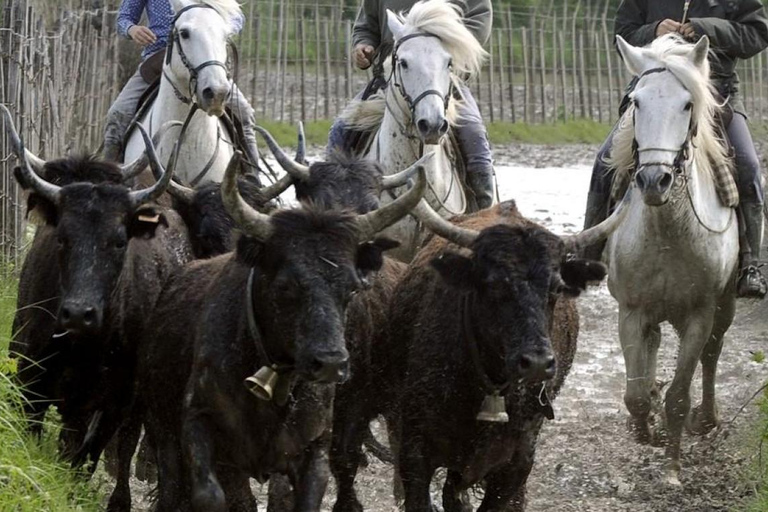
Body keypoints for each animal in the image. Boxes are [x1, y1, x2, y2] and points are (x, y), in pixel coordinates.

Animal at [608, 35, 736, 484]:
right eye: (636, 102)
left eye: (687, 104)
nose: (653, 180)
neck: (668, 233)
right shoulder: (631, 310)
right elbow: (634, 396)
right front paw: (646, 429)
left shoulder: (700, 313)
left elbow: (679, 395)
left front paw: (673, 465)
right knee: (654, 345)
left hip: (724, 305)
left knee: (713, 354)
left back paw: (707, 418)